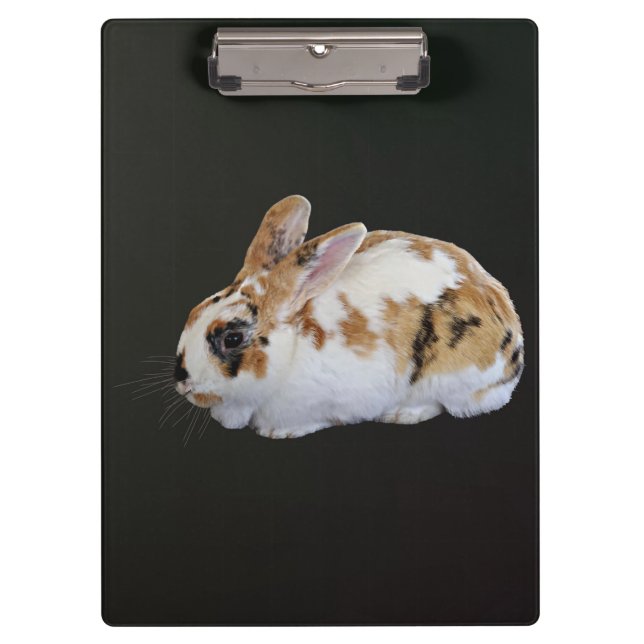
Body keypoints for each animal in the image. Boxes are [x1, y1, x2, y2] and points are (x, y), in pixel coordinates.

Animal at [174, 195, 524, 439]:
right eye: (193, 312)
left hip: (450, 374)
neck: (293, 349)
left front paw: (281, 432)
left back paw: (402, 413)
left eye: (232, 338)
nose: (182, 381)